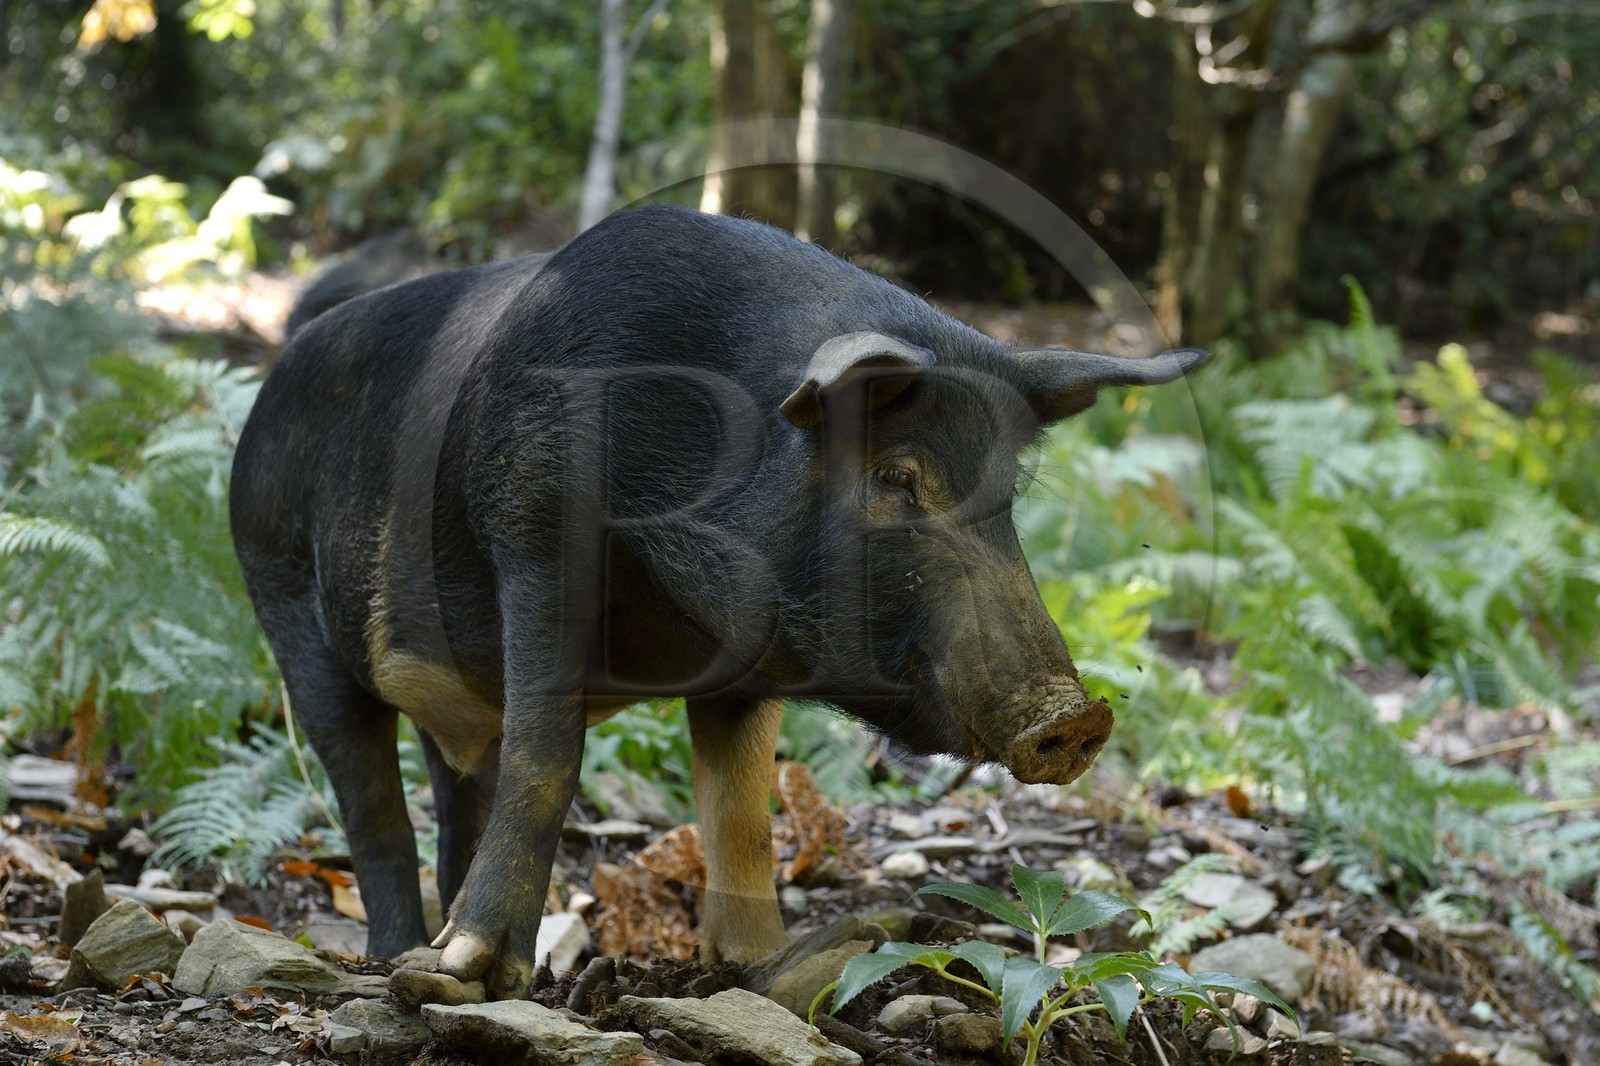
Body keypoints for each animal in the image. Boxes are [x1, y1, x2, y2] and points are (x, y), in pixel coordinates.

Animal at [229, 204, 1205, 998]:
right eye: (897, 477)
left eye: (1007, 494)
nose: (1075, 714)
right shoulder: (531, 528)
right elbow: (550, 756)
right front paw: (472, 975)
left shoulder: (747, 659)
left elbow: (739, 808)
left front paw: (770, 962)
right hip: (283, 603)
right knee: (370, 800)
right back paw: (403, 961)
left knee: (458, 781)